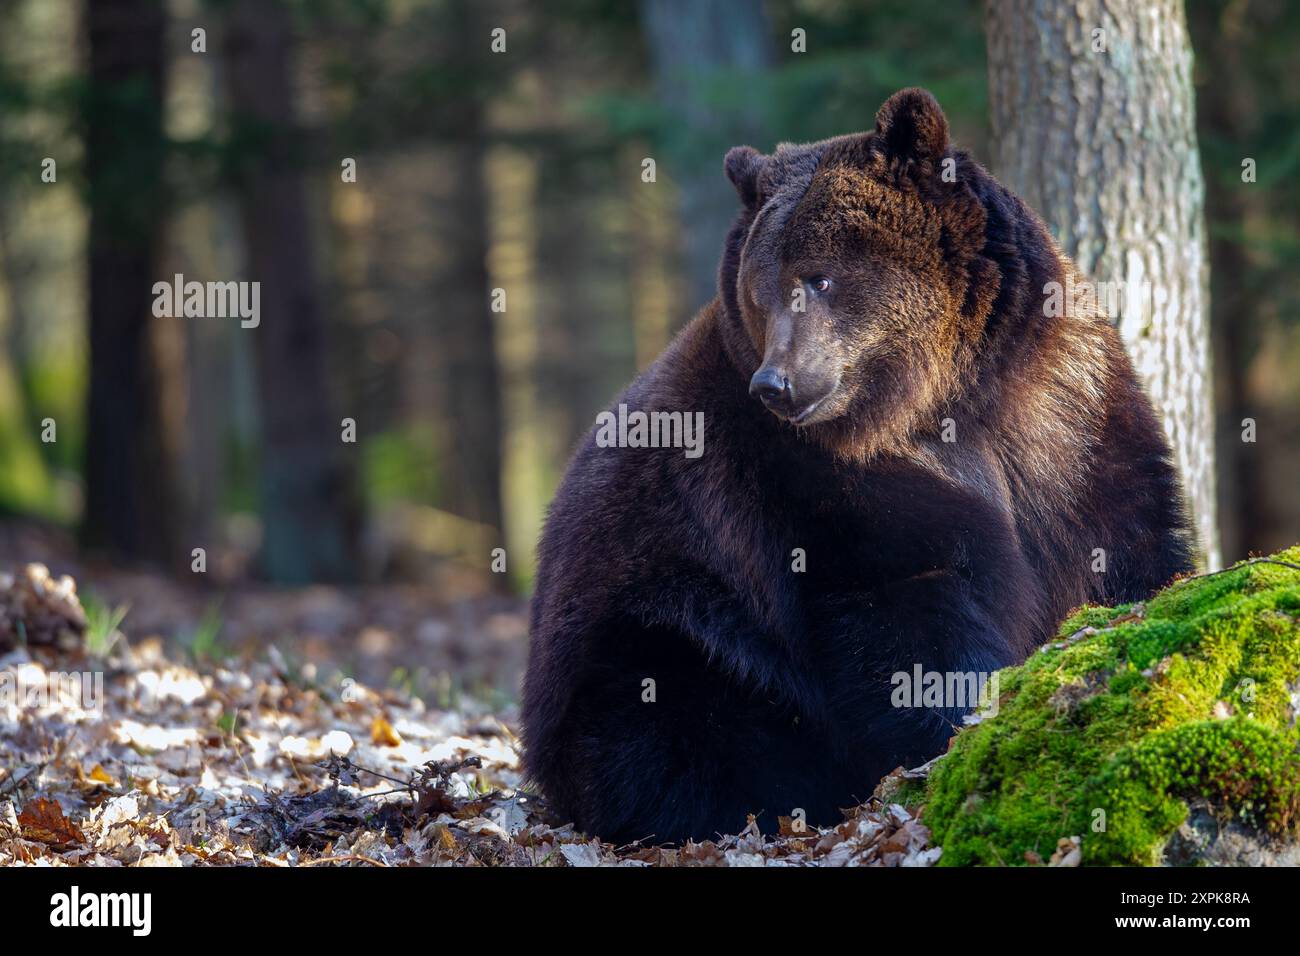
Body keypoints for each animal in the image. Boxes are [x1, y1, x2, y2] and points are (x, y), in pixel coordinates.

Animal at [521, 88, 1193, 845]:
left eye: (819, 278)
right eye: (762, 291)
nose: (775, 383)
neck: (942, 400)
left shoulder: (1067, 418)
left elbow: (1124, 540)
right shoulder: (809, 486)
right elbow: (904, 610)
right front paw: (954, 727)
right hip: (658, 623)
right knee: (668, 721)